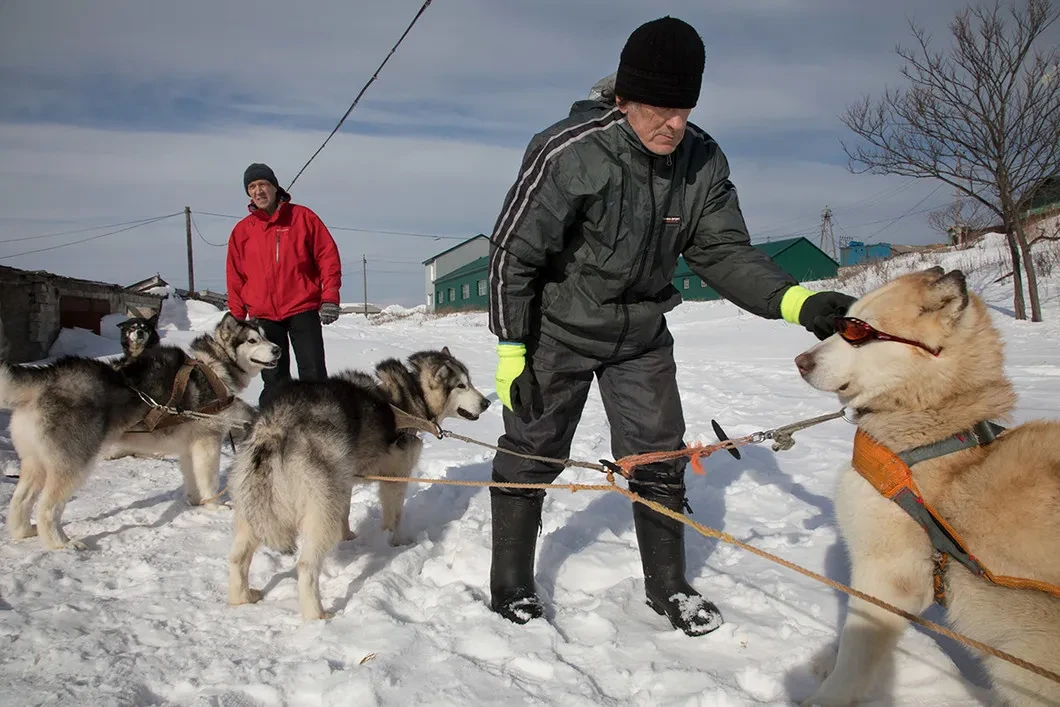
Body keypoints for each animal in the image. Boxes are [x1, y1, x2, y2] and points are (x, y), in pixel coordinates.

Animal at [1, 315, 281, 551]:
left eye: (265, 336)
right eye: (252, 340)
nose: (278, 349)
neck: (213, 366)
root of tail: (49, 374)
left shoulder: (188, 446)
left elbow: (192, 479)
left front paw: (195, 502)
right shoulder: (207, 442)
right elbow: (209, 481)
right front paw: (215, 505)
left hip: (36, 461)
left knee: (20, 499)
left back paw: (24, 531)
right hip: (73, 464)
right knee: (47, 508)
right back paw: (61, 544)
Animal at [228, 347, 491, 619]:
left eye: (469, 381)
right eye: (461, 385)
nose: (487, 403)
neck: (409, 398)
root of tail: (275, 427)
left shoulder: (347, 481)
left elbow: (348, 513)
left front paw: (350, 537)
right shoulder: (395, 477)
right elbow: (394, 516)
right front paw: (394, 543)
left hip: (254, 510)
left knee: (237, 559)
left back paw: (242, 598)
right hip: (321, 511)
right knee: (306, 566)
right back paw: (317, 615)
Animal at [797, 267, 1060, 707]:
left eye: (860, 331)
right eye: (843, 320)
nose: (801, 361)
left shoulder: (887, 574)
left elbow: (855, 651)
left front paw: (822, 696)